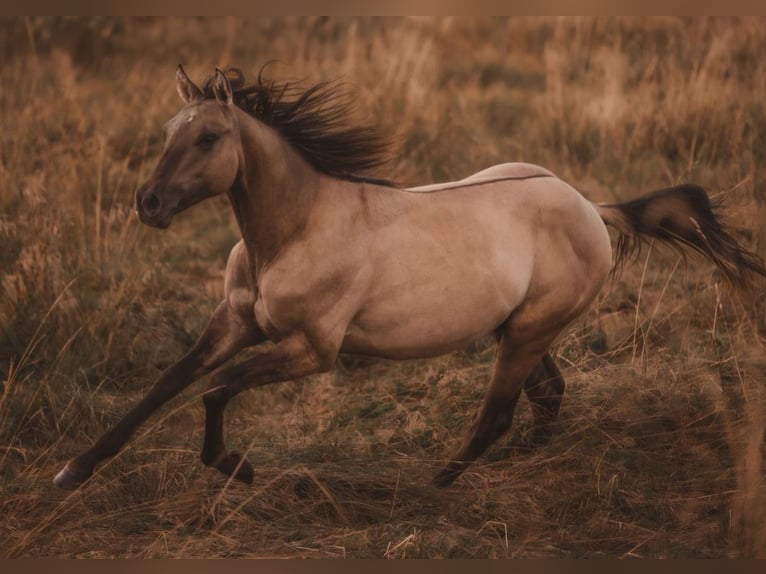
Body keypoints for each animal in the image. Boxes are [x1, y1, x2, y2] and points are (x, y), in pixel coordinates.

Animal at [54, 65, 766, 491]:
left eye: (208, 138)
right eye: (167, 131)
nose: (148, 203)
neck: (293, 231)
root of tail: (592, 206)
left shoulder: (313, 350)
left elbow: (214, 390)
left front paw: (238, 467)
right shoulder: (233, 322)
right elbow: (166, 385)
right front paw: (72, 472)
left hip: (528, 332)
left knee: (499, 413)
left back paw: (436, 483)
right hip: (518, 329)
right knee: (547, 394)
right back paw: (521, 459)